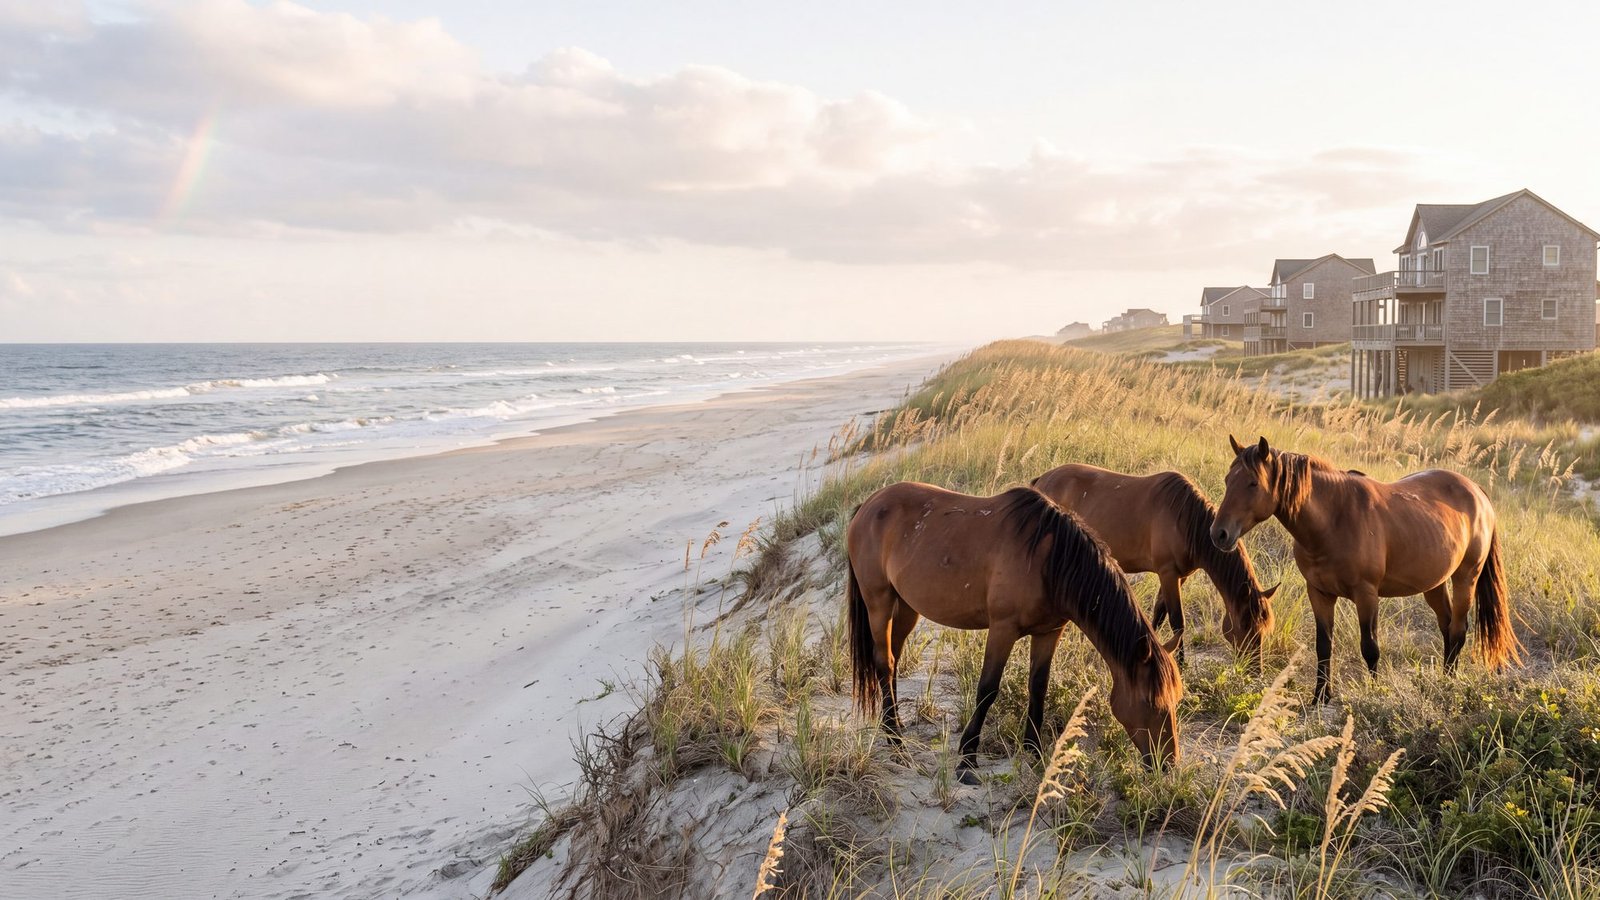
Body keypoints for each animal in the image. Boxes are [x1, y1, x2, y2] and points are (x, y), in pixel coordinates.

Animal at [846, 482, 1182, 783]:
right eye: (1152, 703)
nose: (1168, 763)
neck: (1050, 562)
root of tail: (868, 505)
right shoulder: (1002, 629)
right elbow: (987, 690)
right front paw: (967, 759)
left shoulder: (1049, 632)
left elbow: (1038, 687)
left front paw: (1033, 750)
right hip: (879, 602)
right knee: (884, 663)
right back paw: (896, 742)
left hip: (906, 607)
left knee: (892, 662)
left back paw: (894, 726)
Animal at [1031, 464, 1278, 665]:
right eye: (1246, 624)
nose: (1254, 668)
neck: (1185, 520)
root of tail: (1042, 479)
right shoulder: (1168, 573)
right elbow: (1177, 622)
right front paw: (1181, 664)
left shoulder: (1179, 575)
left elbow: (1159, 614)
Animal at [1210, 436, 1521, 703]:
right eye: (1228, 480)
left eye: (1252, 483)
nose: (1219, 534)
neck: (1334, 520)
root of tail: (1477, 492)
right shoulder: (1319, 593)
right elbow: (1324, 646)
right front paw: (1320, 696)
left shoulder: (1366, 594)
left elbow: (1370, 647)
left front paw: (1374, 693)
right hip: (1435, 583)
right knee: (1446, 627)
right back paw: (1444, 678)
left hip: (1466, 577)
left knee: (1458, 629)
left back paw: (1450, 682)